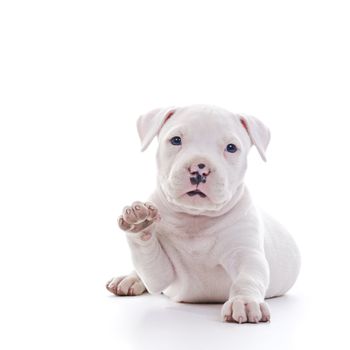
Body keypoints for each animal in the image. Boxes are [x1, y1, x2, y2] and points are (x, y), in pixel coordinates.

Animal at [106, 105, 300, 324]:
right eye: (176, 140)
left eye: (231, 147)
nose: (200, 168)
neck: (195, 218)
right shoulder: (161, 275)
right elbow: (148, 260)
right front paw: (139, 222)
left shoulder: (246, 253)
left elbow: (248, 277)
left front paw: (244, 301)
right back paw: (128, 279)